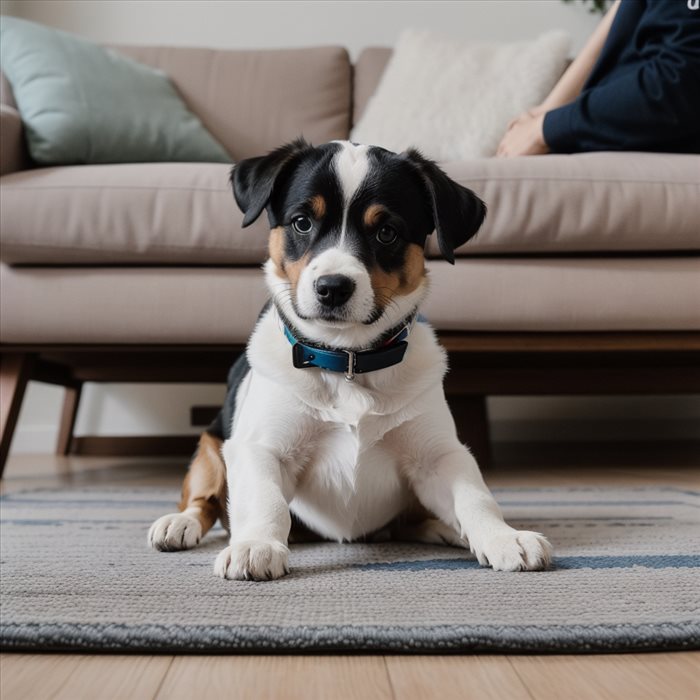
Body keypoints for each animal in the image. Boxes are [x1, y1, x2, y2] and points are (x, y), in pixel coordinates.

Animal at [146, 138, 552, 580]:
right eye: (302, 222)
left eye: (387, 232)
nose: (332, 288)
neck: (347, 360)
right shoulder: (259, 448)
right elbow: (265, 500)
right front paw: (256, 545)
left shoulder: (439, 456)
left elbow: (475, 496)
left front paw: (502, 537)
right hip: (211, 444)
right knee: (204, 499)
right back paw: (178, 523)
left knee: (413, 519)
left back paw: (447, 529)